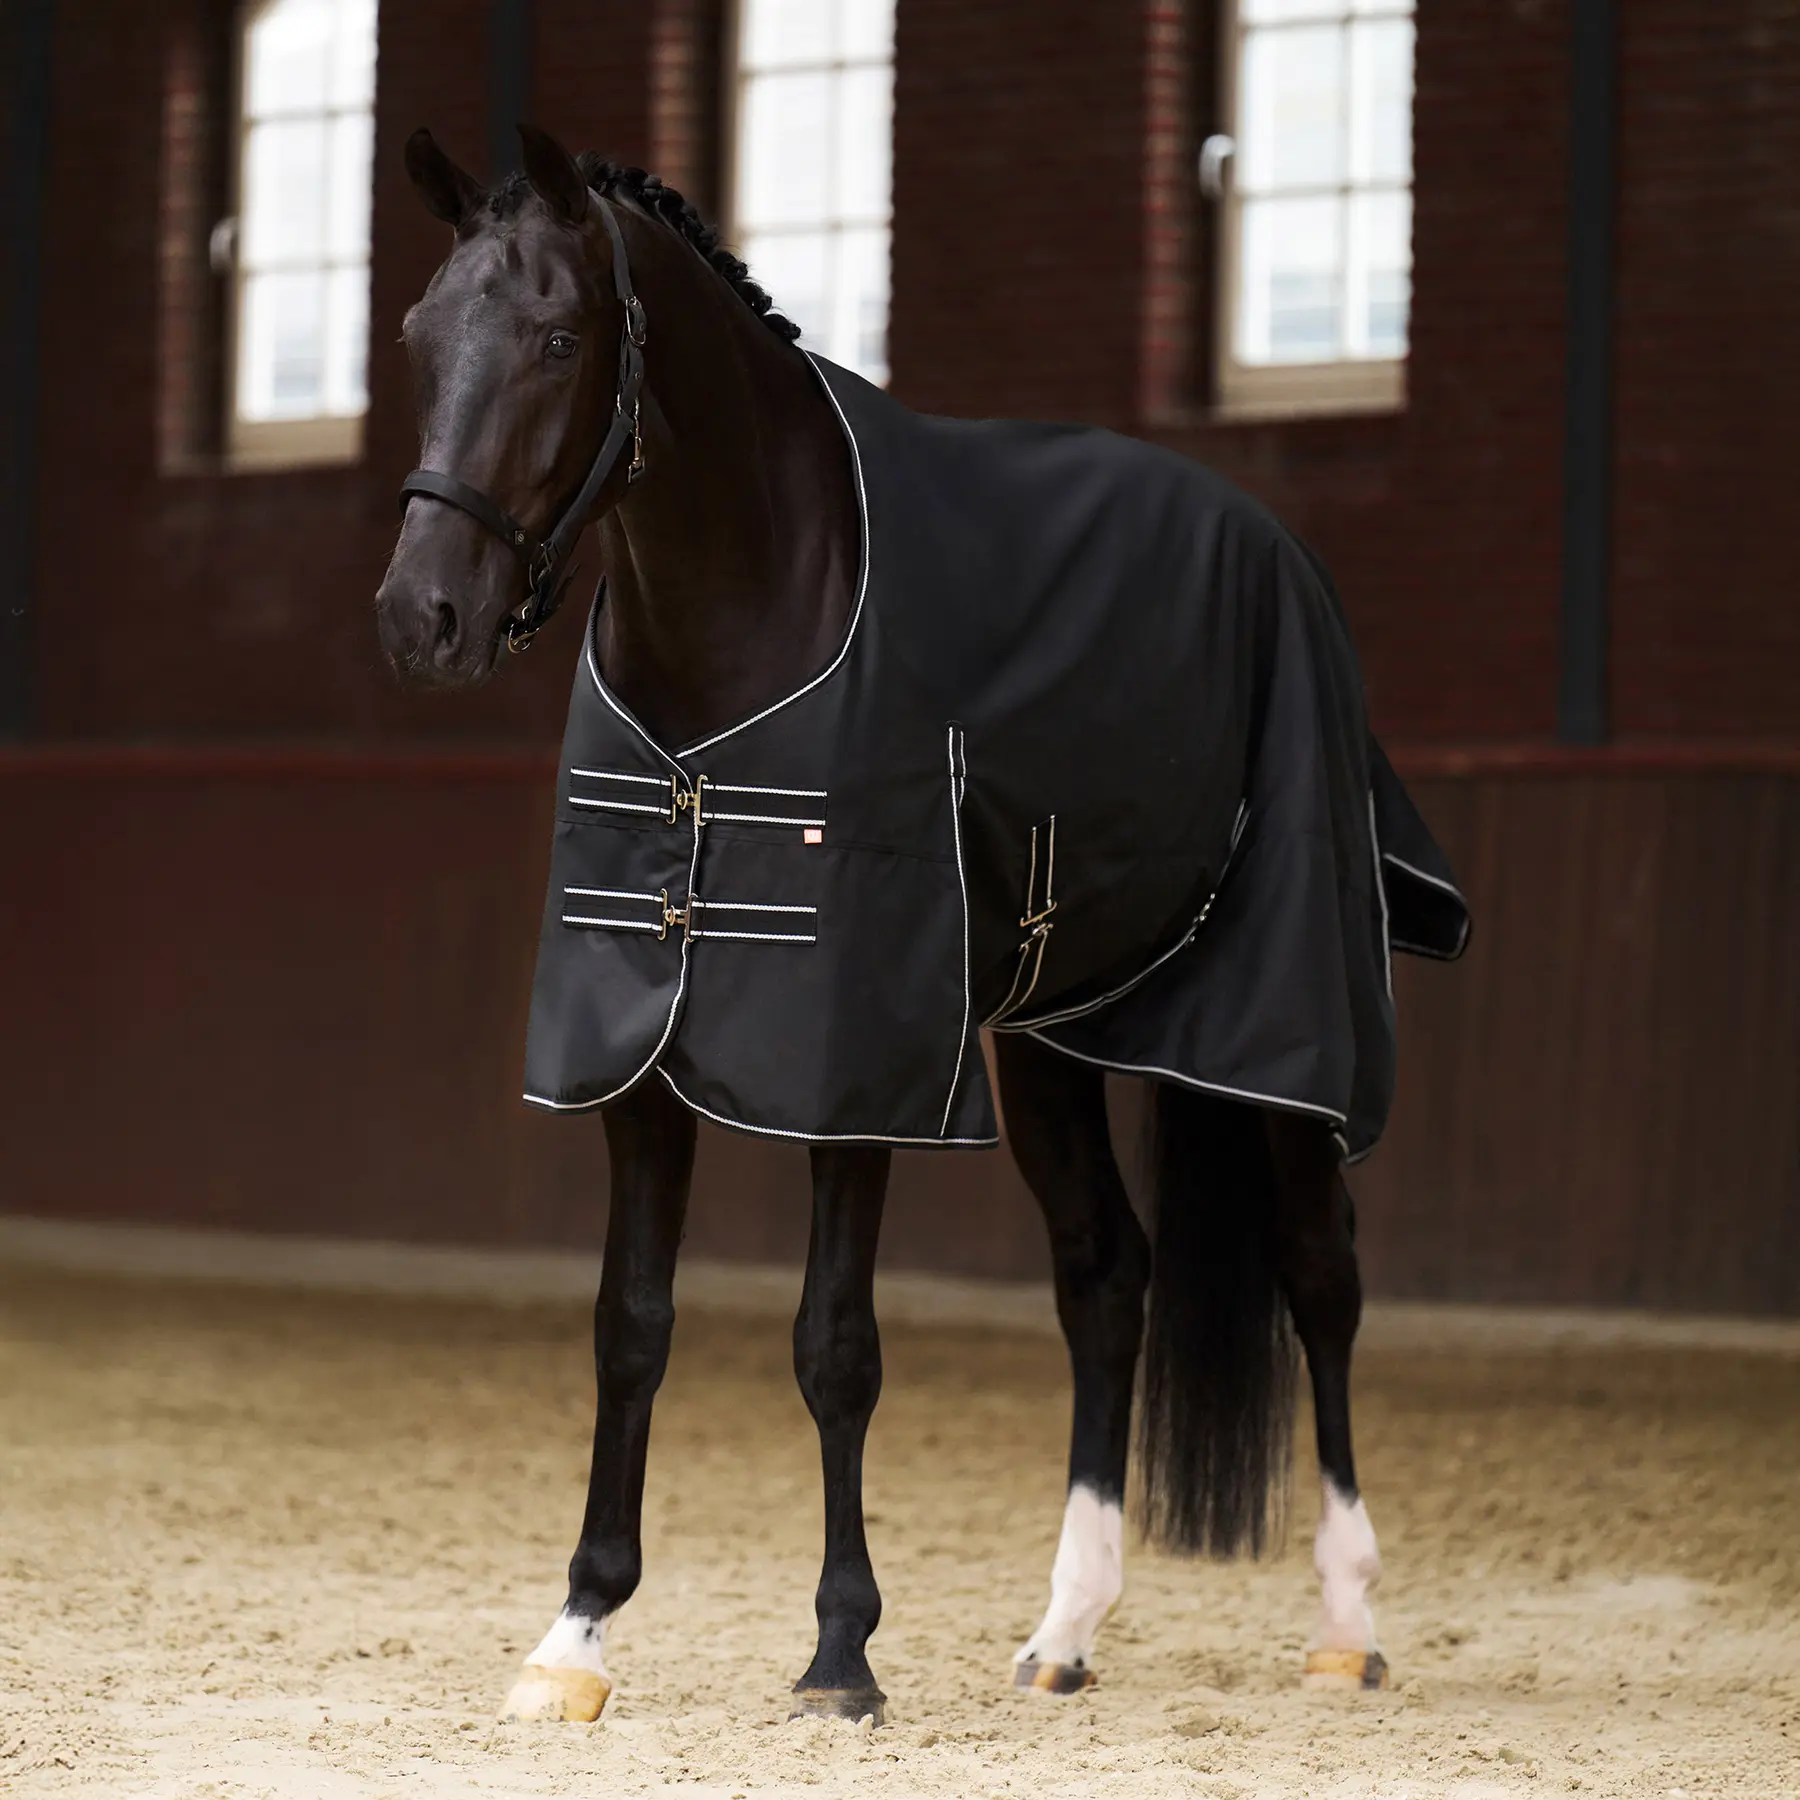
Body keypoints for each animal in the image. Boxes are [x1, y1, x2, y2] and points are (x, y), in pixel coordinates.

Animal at [375, 123, 1468, 1727]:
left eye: (560, 337)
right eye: (418, 334)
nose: (423, 620)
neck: (751, 615)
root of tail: (1273, 546)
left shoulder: (856, 1069)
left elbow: (835, 1347)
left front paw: (840, 1653)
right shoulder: (634, 1053)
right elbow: (629, 1328)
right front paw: (574, 1634)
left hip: (1287, 1030)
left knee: (1321, 1275)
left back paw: (1345, 1619)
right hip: (1055, 1031)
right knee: (1107, 1278)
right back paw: (1066, 1628)